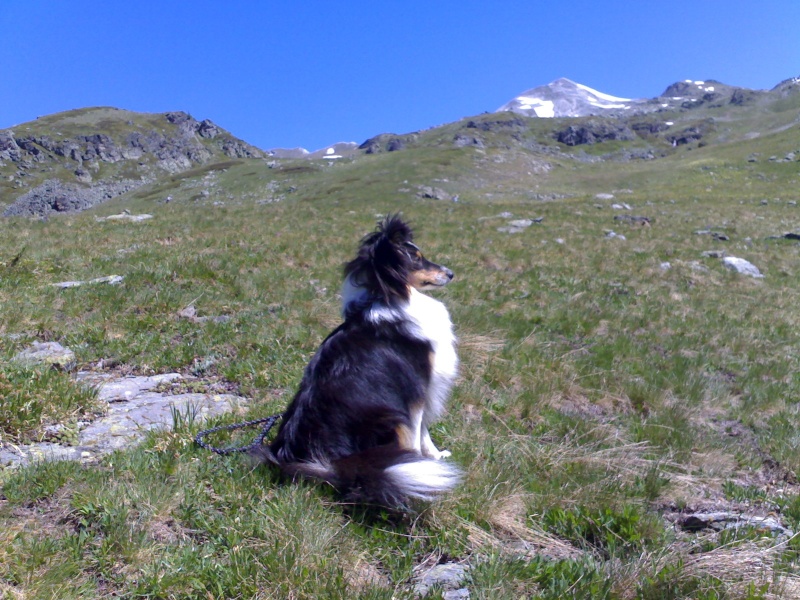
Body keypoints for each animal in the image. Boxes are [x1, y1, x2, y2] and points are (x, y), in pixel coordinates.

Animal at [266, 216, 460, 506]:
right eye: (416, 259)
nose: (451, 273)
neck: (388, 296)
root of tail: (329, 463)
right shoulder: (417, 390)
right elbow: (421, 432)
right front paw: (424, 462)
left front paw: (436, 458)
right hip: (389, 417)